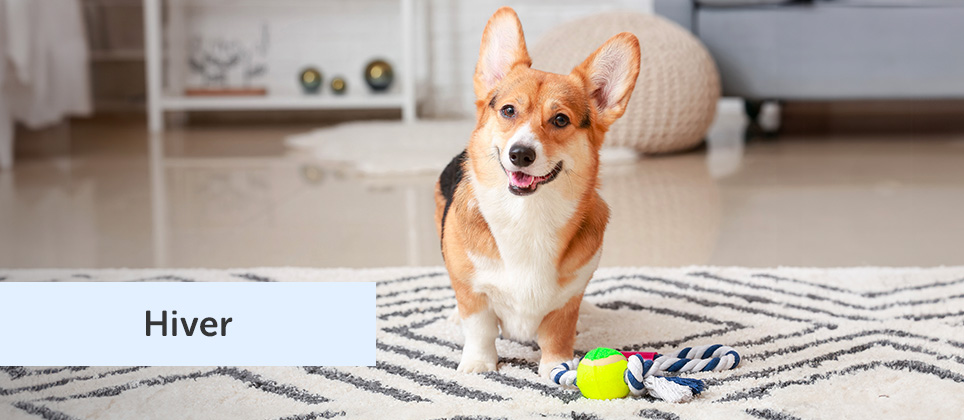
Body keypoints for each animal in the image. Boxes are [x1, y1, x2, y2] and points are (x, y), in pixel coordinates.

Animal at [434, 6, 640, 378]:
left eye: (560, 120)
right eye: (508, 110)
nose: (520, 154)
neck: (527, 216)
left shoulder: (567, 299)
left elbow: (557, 333)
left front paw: (557, 367)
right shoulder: (474, 292)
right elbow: (480, 328)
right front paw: (478, 365)